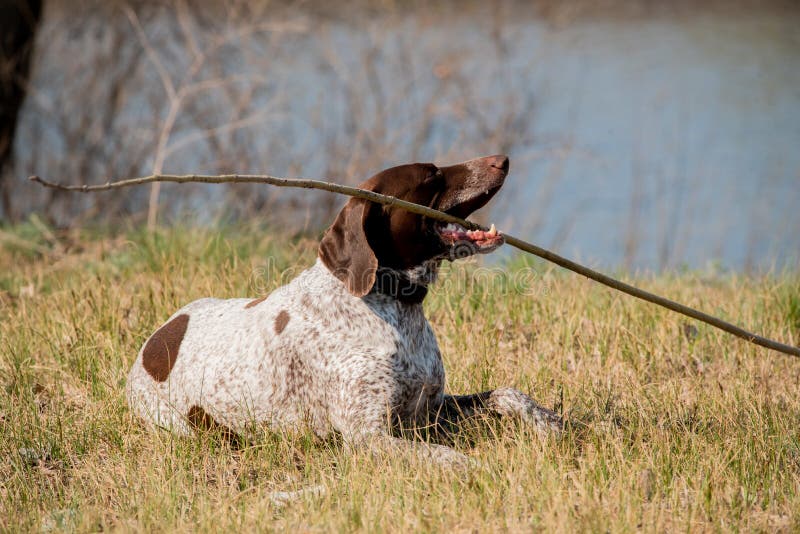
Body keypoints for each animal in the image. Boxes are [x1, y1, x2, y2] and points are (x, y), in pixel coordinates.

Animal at [126, 155, 564, 464]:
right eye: (431, 175)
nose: (502, 159)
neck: (394, 308)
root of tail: (152, 345)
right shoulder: (368, 435)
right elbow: (447, 457)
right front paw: (478, 467)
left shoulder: (431, 410)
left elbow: (508, 394)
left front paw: (548, 421)